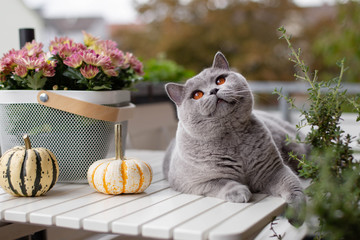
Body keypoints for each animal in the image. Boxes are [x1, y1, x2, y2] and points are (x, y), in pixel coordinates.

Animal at [163, 52, 306, 219]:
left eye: (220, 80)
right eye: (197, 95)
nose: (214, 90)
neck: (232, 139)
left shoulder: (272, 169)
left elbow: (290, 182)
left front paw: (297, 209)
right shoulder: (194, 182)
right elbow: (222, 182)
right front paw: (240, 192)